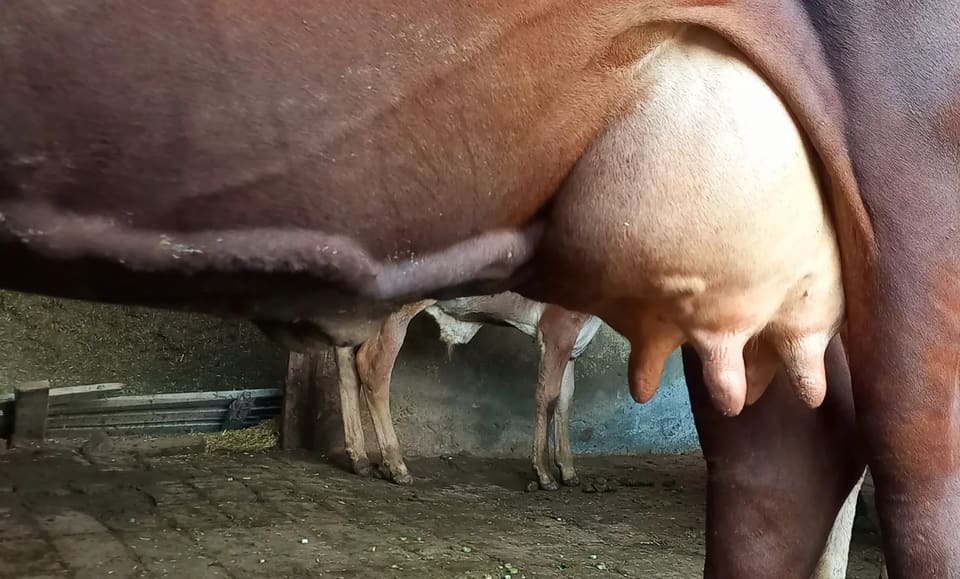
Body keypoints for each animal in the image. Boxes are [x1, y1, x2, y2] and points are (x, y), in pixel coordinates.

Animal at [0, 2, 946, 576]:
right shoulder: (560, 329)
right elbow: (549, 397)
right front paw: (548, 471)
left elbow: (562, 399)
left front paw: (560, 469)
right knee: (372, 368)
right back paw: (389, 459)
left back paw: (367, 453)